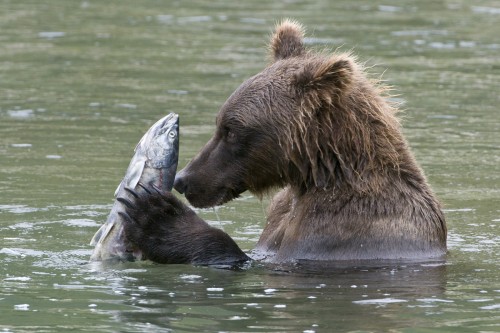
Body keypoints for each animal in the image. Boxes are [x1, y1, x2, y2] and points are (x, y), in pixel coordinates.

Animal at [119, 20, 448, 264]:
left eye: (231, 130)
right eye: (220, 124)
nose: (184, 180)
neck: (315, 175)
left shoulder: (342, 232)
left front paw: (155, 215)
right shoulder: (280, 217)